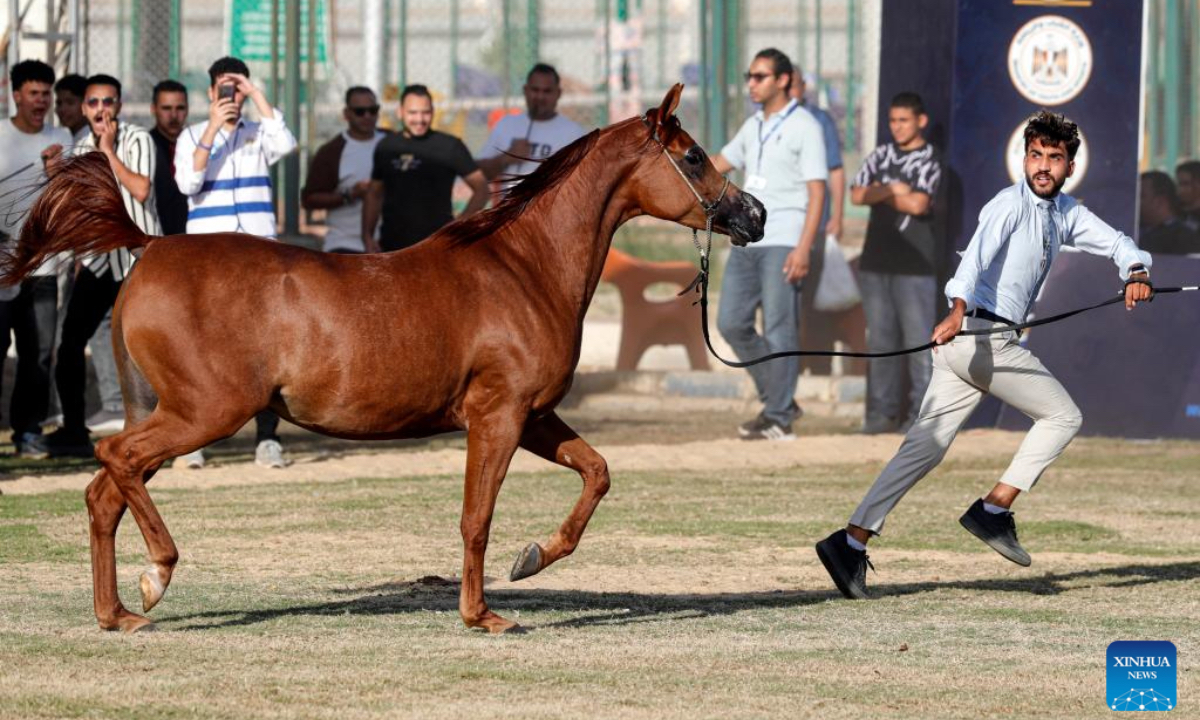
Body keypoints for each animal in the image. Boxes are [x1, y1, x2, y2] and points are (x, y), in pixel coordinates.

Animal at [3, 84, 765, 634]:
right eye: (693, 156)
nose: (752, 215)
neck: (522, 266)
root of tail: (151, 245)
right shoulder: (498, 417)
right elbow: (476, 517)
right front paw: (484, 615)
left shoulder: (535, 416)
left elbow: (597, 473)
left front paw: (532, 559)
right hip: (205, 412)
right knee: (117, 461)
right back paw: (155, 576)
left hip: (171, 412)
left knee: (106, 490)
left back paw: (118, 614)